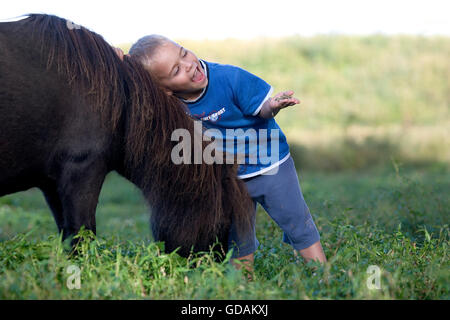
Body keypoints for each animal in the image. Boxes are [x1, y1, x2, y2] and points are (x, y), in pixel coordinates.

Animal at [0, 14, 253, 258]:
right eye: (226, 217)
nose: (217, 264)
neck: (117, 97)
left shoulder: (51, 185)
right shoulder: (81, 171)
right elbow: (81, 237)